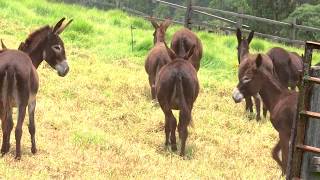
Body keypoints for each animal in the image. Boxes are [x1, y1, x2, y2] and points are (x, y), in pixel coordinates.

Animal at [0, 17, 72, 159]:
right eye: (57, 47)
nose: (66, 70)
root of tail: (10, 65)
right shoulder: (32, 101)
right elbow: (32, 126)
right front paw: (34, 149)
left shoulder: (8, 104)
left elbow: (7, 125)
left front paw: (5, 149)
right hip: (22, 102)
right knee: (18, 128)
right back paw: (18, 156)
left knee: (7, 124)